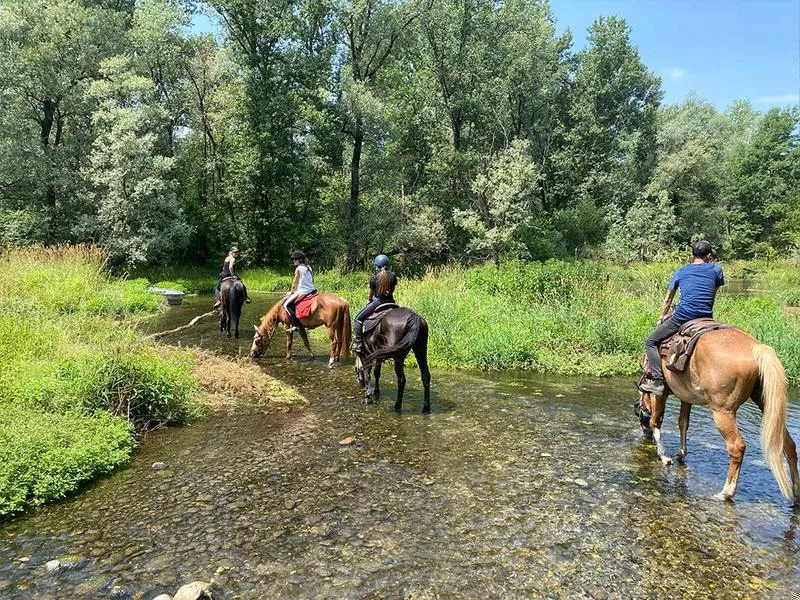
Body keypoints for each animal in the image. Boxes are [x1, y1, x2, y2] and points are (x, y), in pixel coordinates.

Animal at [639, 326, 800, 503]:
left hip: (722, 412)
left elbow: (656, 420)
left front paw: (663, 456)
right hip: (765, 403)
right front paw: (681, 453)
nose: (645, 434)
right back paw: (796, 493)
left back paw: (726, 492)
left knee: (737, 447)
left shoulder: (660, 394)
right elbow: (683, 423)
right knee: (789, 445)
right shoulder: (686, 397)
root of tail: (757, 347)